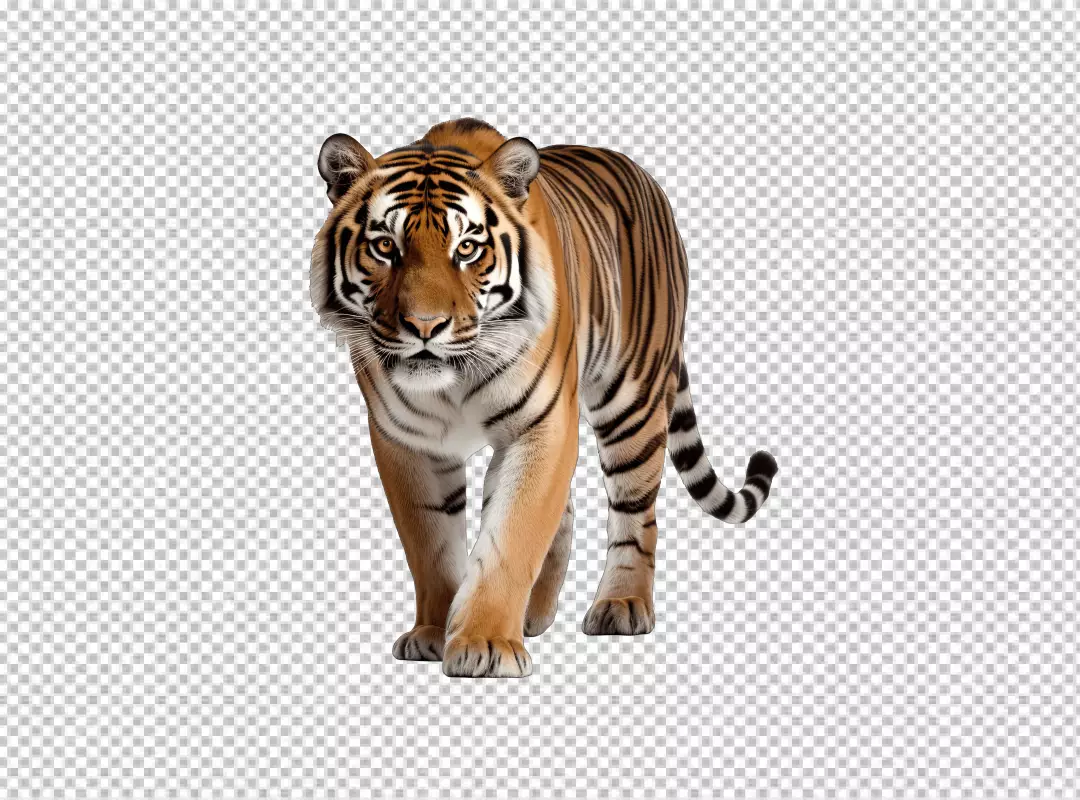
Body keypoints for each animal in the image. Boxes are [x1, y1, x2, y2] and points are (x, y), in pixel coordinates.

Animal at [310, 118, 778, 678]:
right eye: (384, 246)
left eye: (466, 249)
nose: (425, 326)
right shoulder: (406, 440)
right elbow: (431, 545)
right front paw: (433, 632)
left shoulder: (543, 424)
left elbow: (513, 535)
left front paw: (486, 642)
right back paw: (535, 612)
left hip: (632, 401)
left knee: (636, 512)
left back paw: (622, 604)